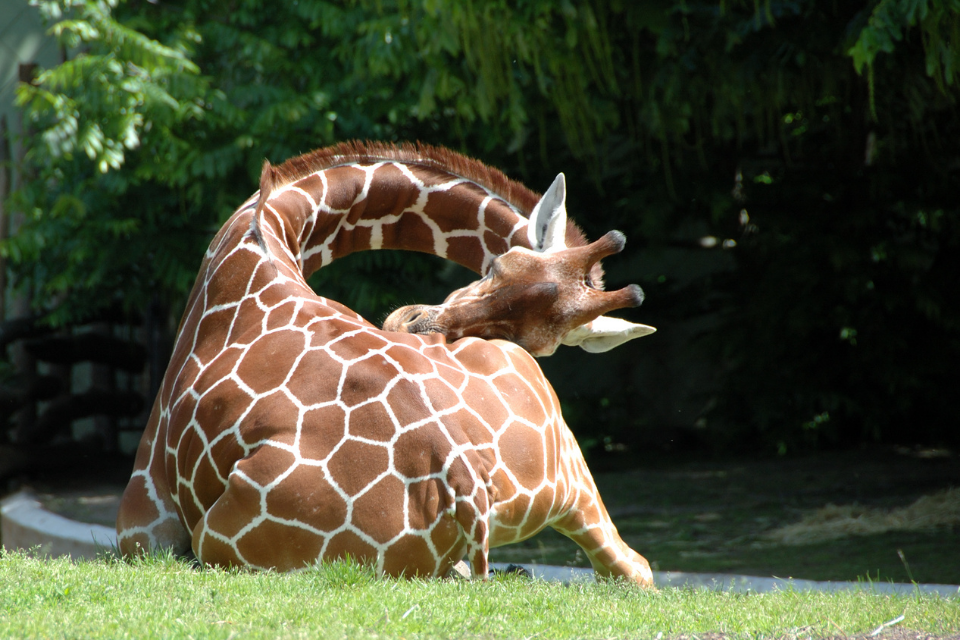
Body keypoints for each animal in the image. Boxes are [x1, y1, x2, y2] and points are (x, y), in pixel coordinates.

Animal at [116, 140, 656, 584]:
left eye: (543, 339)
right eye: (497, 267)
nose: (413, 324)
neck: (270, 227)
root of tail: (465, 491)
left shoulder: (143, 516)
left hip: (218, 539)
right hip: (572, 477)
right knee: (634, 569)